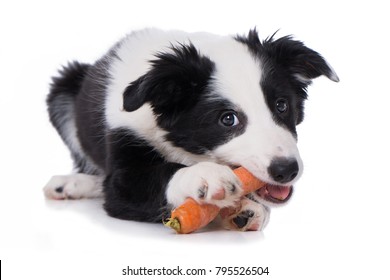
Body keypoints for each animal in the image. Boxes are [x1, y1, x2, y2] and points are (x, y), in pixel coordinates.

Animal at [43, 28, 338, 231]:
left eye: (281, 105)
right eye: (228, 119)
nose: (286, 170)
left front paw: (245, 209)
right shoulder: (123, 171)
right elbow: (155, 177)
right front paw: (204, 177)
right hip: (63, 86)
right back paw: (70, 183)